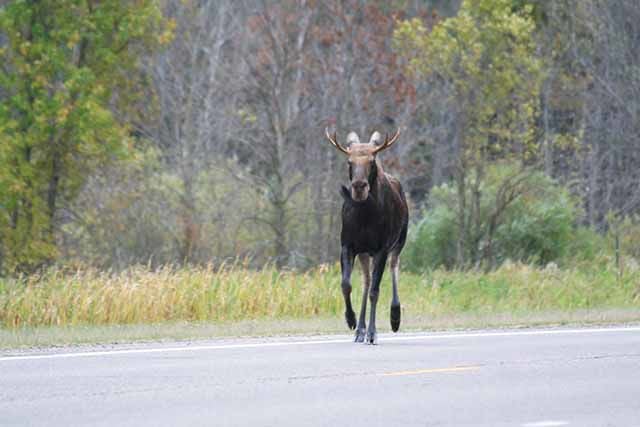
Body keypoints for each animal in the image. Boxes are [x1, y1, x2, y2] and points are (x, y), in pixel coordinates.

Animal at [324, 127, 410, 344]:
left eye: (371, 161)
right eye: (349, 161)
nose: (359, 186)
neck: (364, 216)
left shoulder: (381, 248)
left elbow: (375, 292)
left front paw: (373, 332)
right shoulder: (348, 245)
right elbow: (346, 284)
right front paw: (351, 320)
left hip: (399, 241)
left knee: (393, 267)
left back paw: (394, 317)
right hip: (364, 253)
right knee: (366, 280)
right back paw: (360, 330)